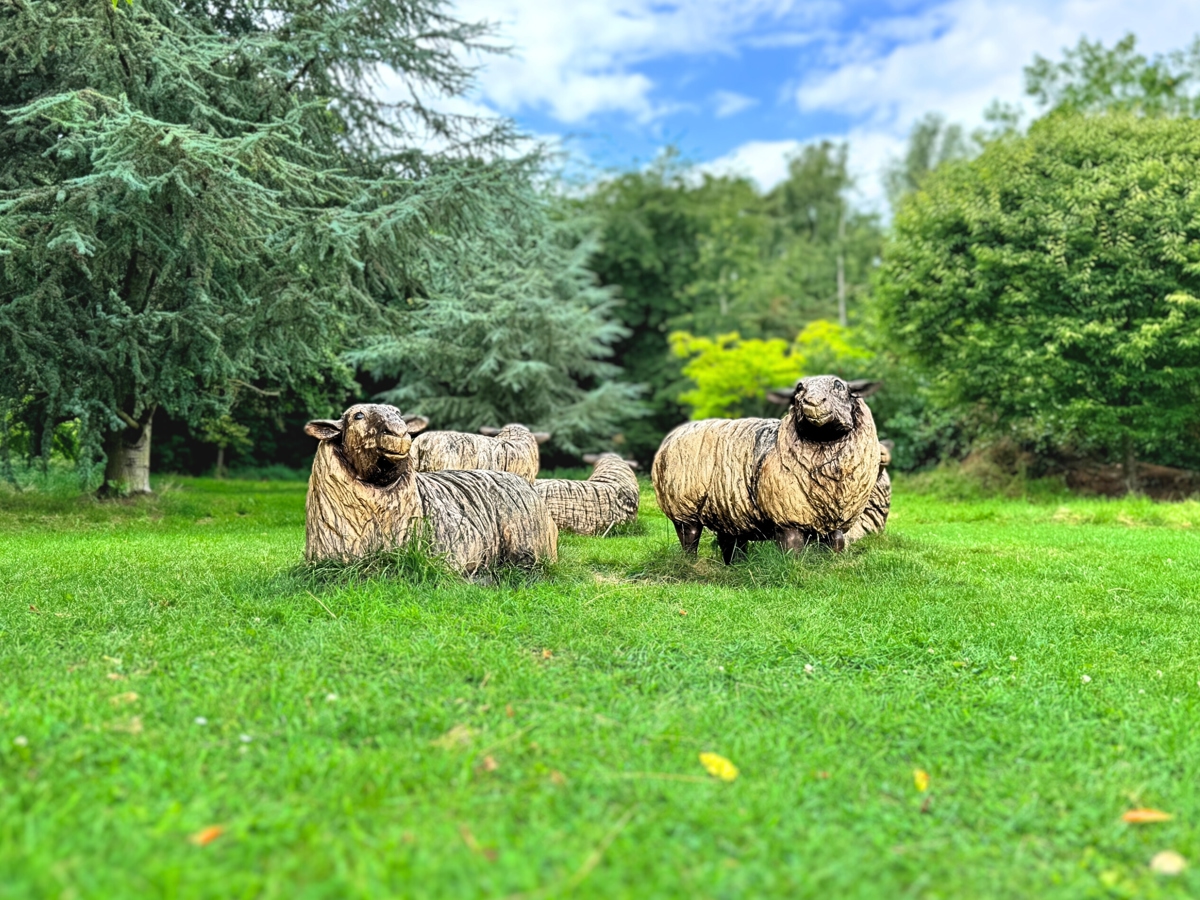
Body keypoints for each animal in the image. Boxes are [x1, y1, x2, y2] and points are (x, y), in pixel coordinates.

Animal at [652, 375, 883, 563]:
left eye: (839, 386)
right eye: (799, 388)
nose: (813, 403)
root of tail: (676, 432)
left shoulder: (835, 522)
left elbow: (836, 547)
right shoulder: (788, 519)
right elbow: (792, 553)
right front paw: (794, 571)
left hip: (728, 508)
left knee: (731, 543)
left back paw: (736, 567)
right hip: (682, 508)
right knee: (689, 539)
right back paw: (690, 564)